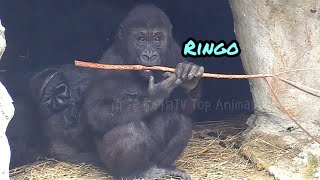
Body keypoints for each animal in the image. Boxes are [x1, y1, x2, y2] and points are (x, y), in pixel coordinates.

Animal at [82, 4, 202, 180]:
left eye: (157, 39)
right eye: (141, 39)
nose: (150, 55)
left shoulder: (174, 51)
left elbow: (185, 109)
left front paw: (189, 78)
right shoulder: (109, 62)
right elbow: (95, 111)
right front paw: (155, 95)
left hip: (154, 158)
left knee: (180, 120)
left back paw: (164, 166)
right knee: (130, 128)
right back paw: (136, 171)